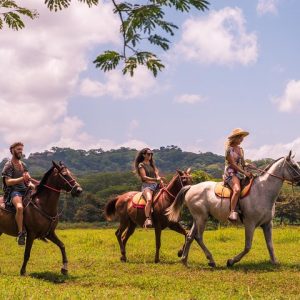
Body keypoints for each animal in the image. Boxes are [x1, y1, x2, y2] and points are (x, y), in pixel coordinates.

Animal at [166, 152, 300, 268]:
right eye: (294, 166)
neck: (262, 191)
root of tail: (191, 187)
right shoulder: (250, 224)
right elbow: (247, 247)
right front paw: (231, 261)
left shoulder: (267, 224)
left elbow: (270, 245)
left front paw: (274, 261)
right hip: (201, 218)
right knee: (198, 237)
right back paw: (211, 260)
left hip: (197, 218)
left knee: (190, 236)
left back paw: (184, 260)